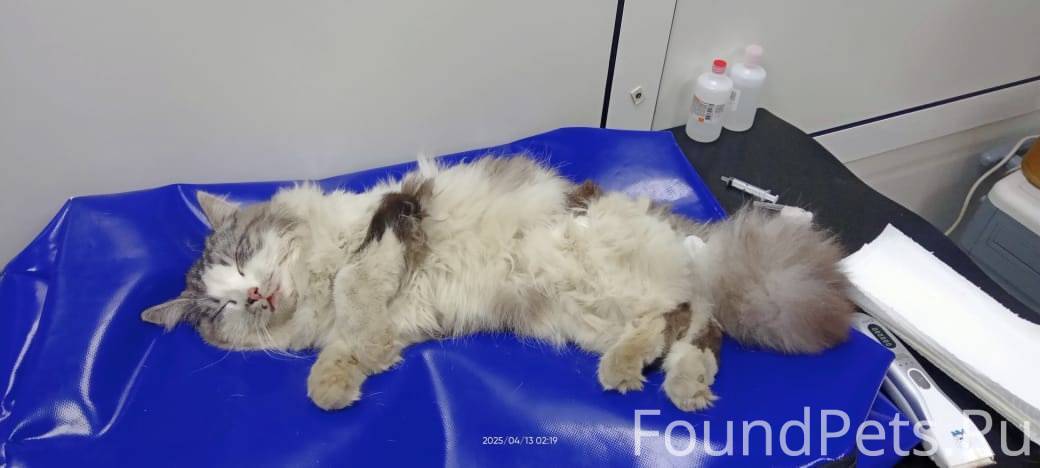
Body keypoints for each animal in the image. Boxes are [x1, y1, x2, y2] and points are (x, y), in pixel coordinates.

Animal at [141, 155, 853, 411]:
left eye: (242, 257)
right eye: (222, 308)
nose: (255, 295)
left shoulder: (394, 217)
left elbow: (353, 284)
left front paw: (343, 365)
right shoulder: (389, 320)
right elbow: (346, 348)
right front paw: (335, 387)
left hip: (617, 267)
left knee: (697, 315)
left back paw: (669, 382)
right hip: (588, 314)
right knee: (679, 325)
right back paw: (651, 377)